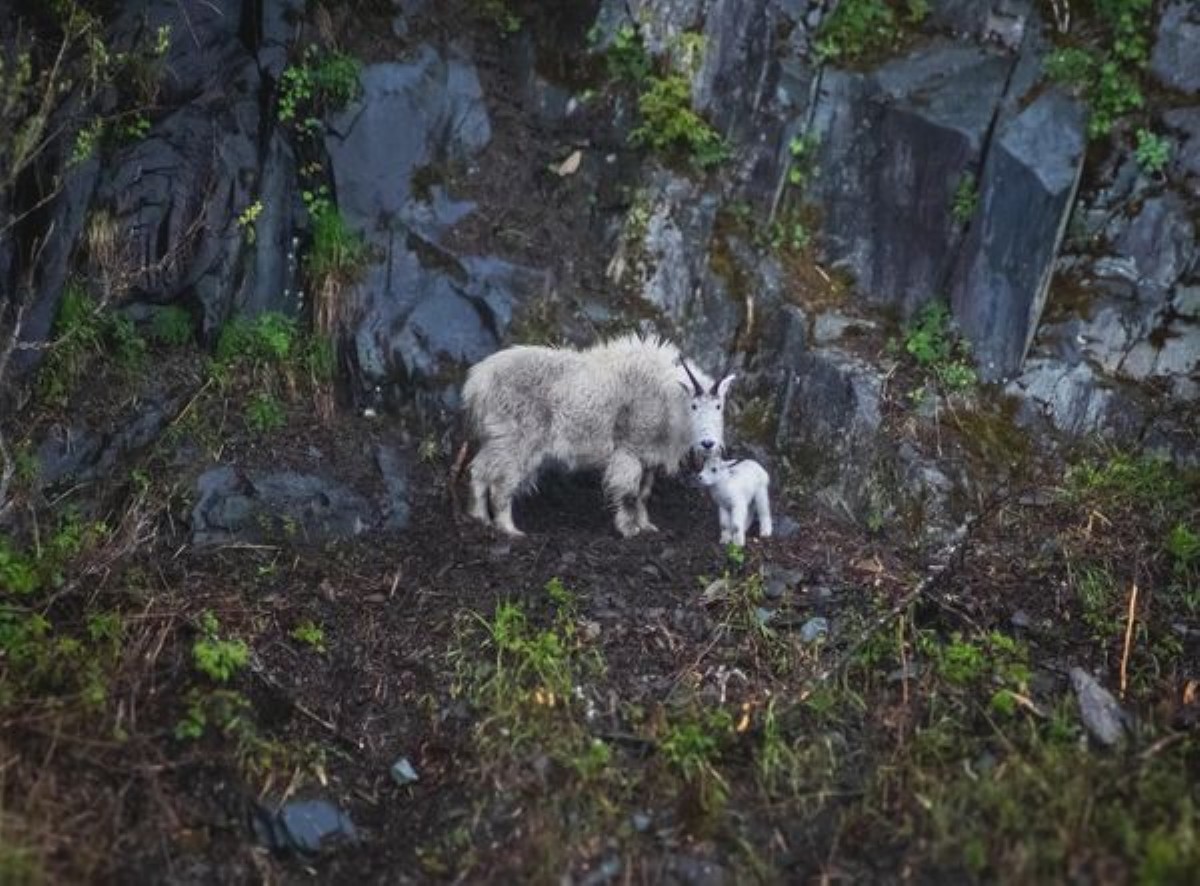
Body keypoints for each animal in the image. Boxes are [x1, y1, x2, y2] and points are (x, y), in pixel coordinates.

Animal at [455, 334, 734, 538]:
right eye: (694, 406)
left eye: (719, 406)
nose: (708, 443)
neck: (668, 398)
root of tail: (478, 382)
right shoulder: (629, 450)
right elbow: (629, 493)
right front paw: (629, 530)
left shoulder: (648, 458)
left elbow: (643, 494)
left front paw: (647, 526)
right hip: (517, 441)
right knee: (502, 484)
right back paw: (510, 530)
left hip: (496, 437)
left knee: (479, 471)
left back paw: (479, 518)